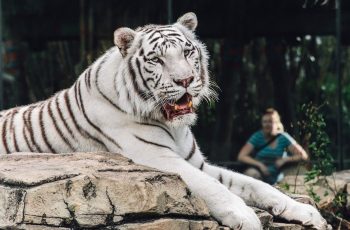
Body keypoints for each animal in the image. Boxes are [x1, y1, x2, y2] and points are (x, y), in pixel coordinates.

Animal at [0, 12, 328, 230]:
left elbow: (257, 185)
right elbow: (213, 187)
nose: (186, 80)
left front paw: (306, 212)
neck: (173, 126)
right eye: (156, 60)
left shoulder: (199, 163)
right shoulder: (158, 158)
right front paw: (246, 218)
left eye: (187, 51)